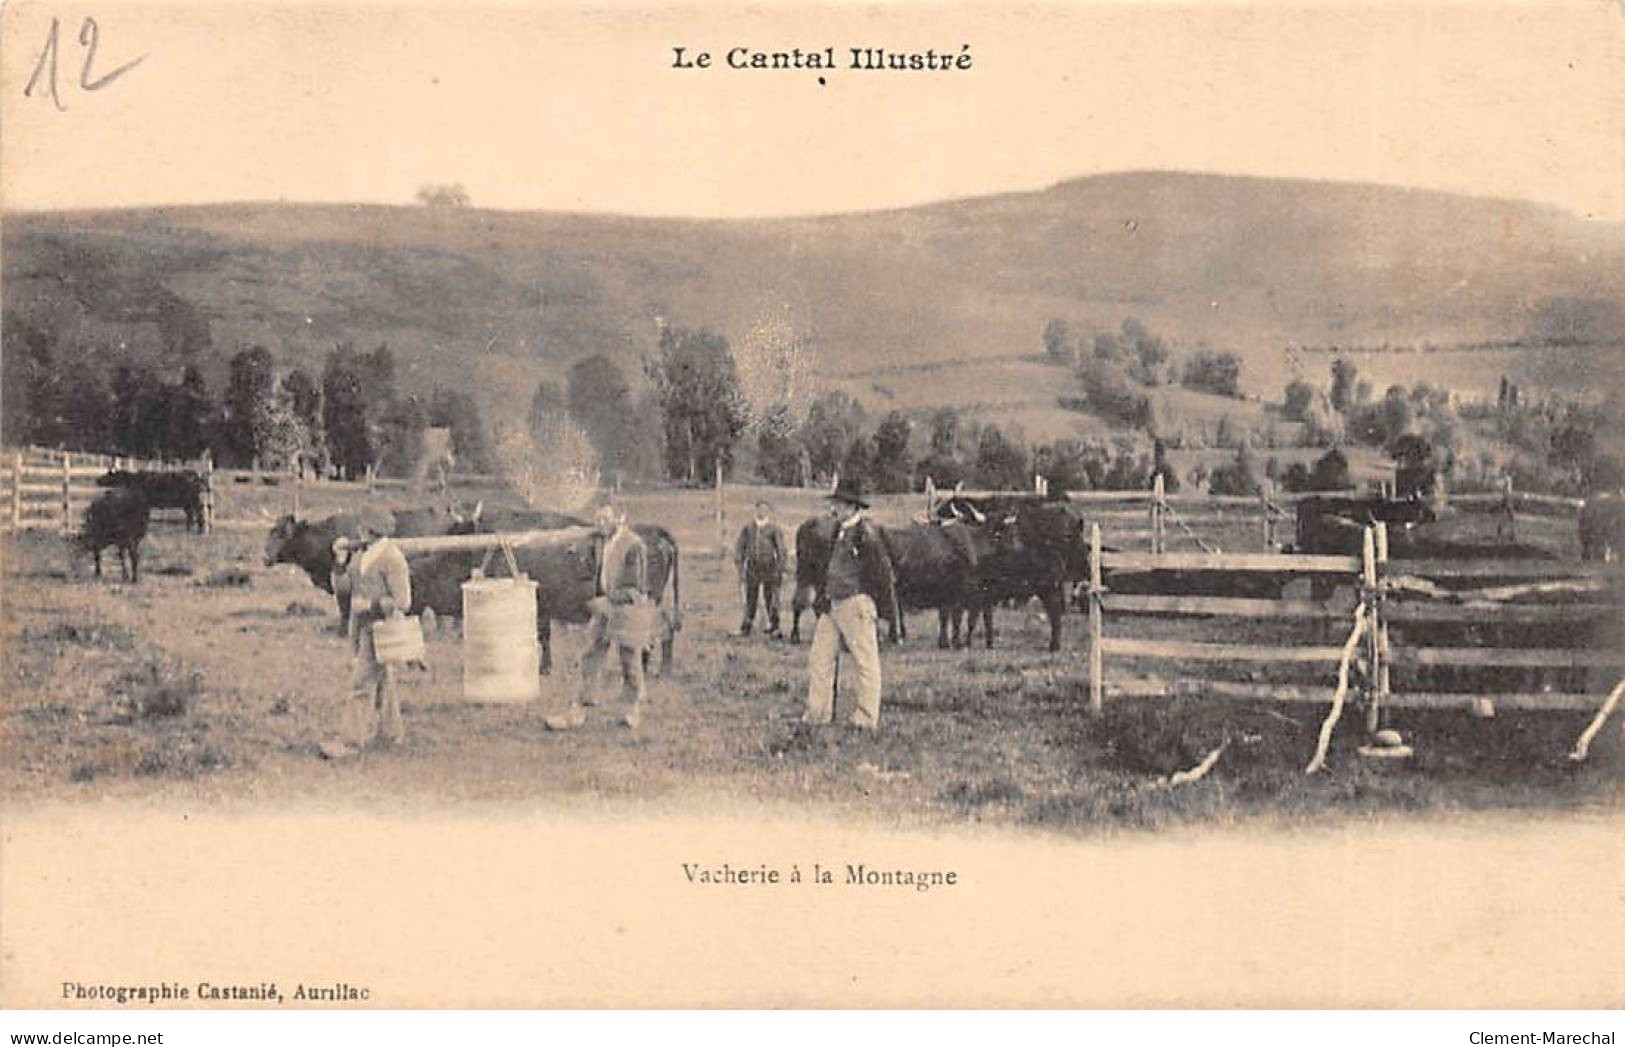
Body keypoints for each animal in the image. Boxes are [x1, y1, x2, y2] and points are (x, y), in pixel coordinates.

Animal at [416, 510, 682, 676]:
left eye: (450, 553)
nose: (418, 572)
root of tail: (657, 532)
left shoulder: (539, 604)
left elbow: (541, 636)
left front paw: (543, 668)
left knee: (659, 632)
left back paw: (657, 669)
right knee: (664, 630)